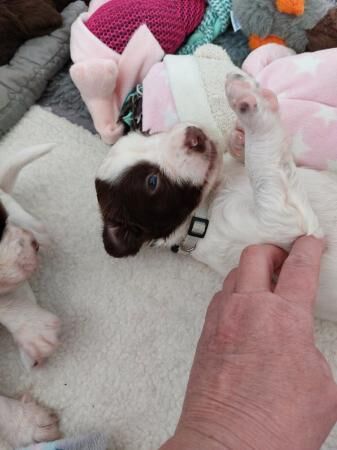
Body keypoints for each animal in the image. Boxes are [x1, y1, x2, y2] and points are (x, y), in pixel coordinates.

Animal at [96, 73, 337, 320]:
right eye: (152, 182)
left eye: (148, 133)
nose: (195, 136)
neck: (211, 200)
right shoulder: (282, 223)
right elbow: (263, 161)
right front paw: (244, 94)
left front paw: (239, 135)